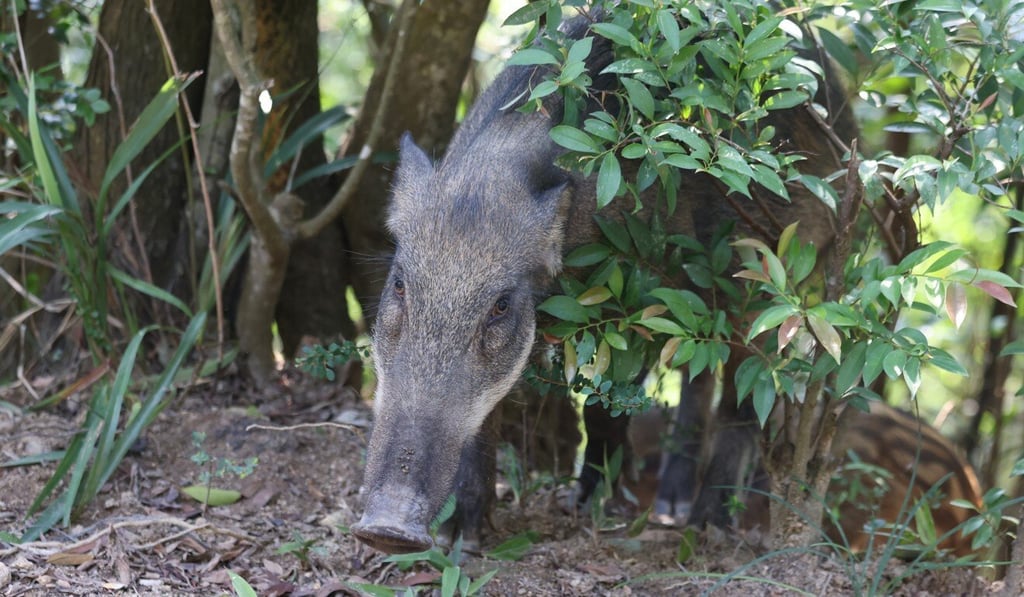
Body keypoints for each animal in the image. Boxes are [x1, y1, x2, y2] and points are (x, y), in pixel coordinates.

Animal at [351, 15, 854, 554]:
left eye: (501, 305)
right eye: (400, 285)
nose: (386, 530)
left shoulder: (644, 297)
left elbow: (607, 403)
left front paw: (590, 506)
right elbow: (486, 423)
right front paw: (459, 542)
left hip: (766, 277)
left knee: (744, 391)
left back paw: (704, 525)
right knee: (701, 378)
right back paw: (672, 508)